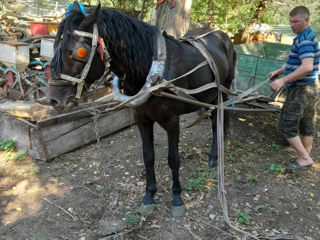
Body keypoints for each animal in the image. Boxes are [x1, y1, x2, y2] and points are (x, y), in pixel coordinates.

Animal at [46, 1, 236, 216]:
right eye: (55, 46)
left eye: (79, 52)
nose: (54, 100)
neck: (152, 70)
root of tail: (224, 37)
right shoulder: (142, 119)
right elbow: (148, 156)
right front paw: (149, 195)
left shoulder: (172, 121)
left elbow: (173, 159)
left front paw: (177, 198)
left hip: (222, 93)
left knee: (216, 123)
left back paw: (213, 157)